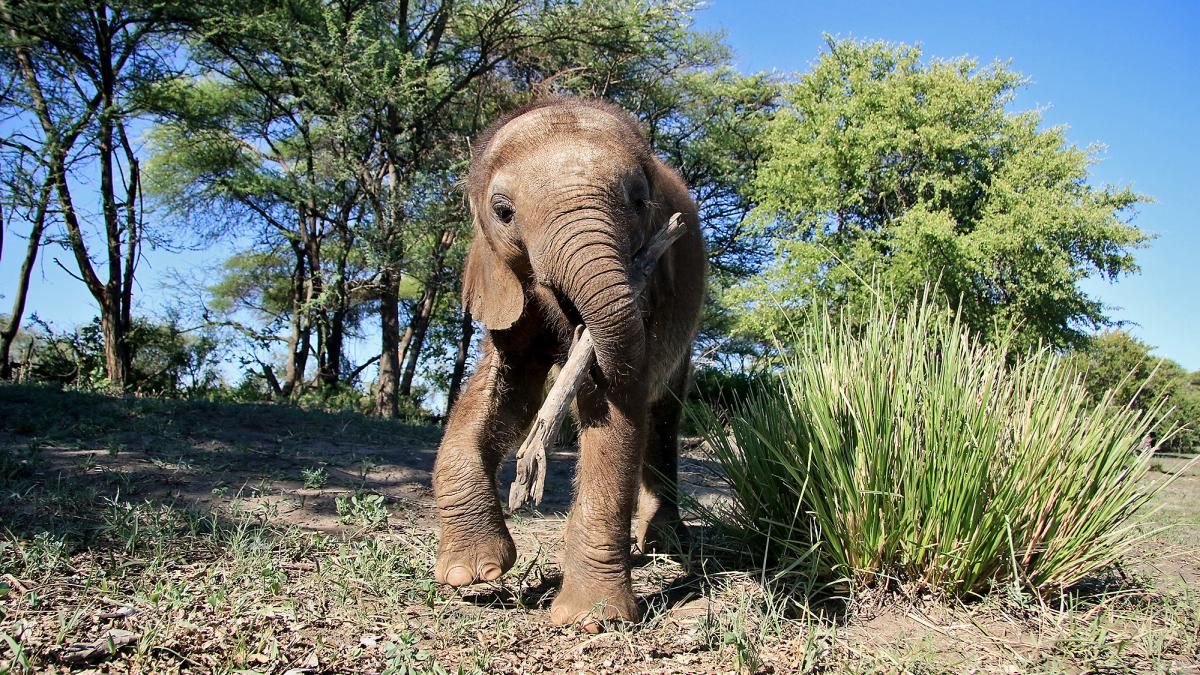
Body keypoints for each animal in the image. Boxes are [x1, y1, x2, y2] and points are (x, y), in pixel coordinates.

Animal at [432, 97, 706, 628]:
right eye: (503, 213)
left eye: (639, 202)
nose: (581, 329)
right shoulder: (506, 283)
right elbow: (507, 389)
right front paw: (471, 574)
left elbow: (616, 406)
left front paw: (590, 619)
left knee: (664, 414)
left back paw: (664, 544)